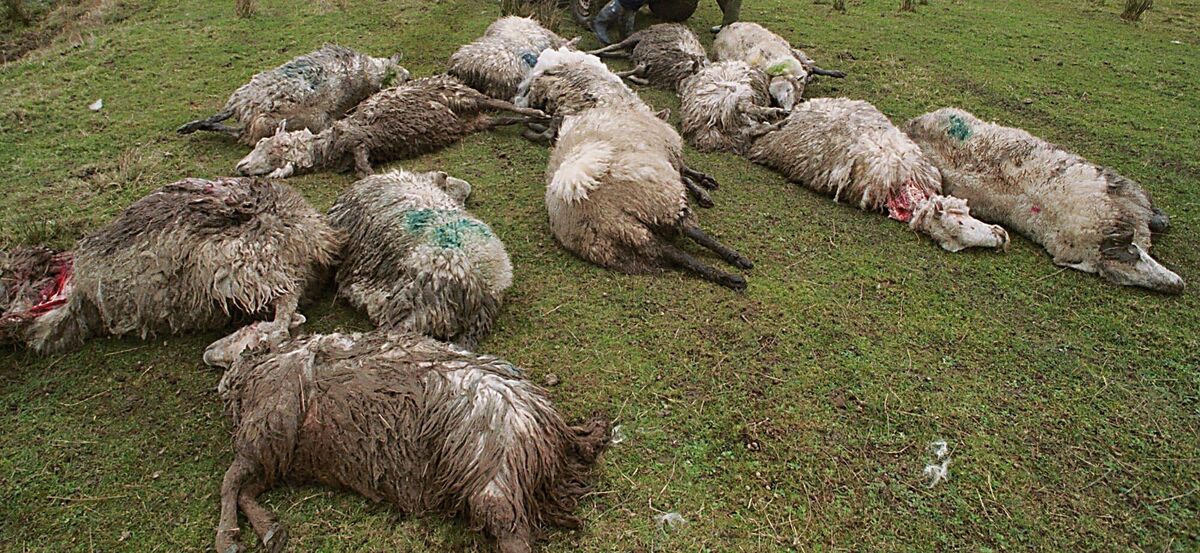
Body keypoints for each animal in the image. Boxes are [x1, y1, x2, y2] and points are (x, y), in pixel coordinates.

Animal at [178, 44, 410, 146]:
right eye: (405, 79)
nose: (408, 77)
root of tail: (246, 106)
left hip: (248, 111)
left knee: (233, 130)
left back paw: (190, 127)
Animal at [214, 329, 609, 553]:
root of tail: (549, 432)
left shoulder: (269, 427)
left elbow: (230, 480)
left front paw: (228, 538)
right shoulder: (282, 451)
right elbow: (241, 486)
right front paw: (265, 529)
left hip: (492, 475)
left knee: (514, 536)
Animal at [235, 75, 550, 179]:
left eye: (270, 149)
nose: (240, 167)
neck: (327, 144)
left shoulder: (360, 140)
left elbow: (363, 169)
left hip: (462, 94)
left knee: (501, 103)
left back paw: (538, 113)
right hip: (473, 121)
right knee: (501, 118)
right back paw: (534, 122)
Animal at [546, 105, 753, 290]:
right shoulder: (670, 161)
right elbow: (684, 173)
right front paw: (702, 185)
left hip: (625, 237)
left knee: (677, 254)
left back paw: (726, 276)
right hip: (661, 201)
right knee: (693, 232)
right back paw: (735, 264)